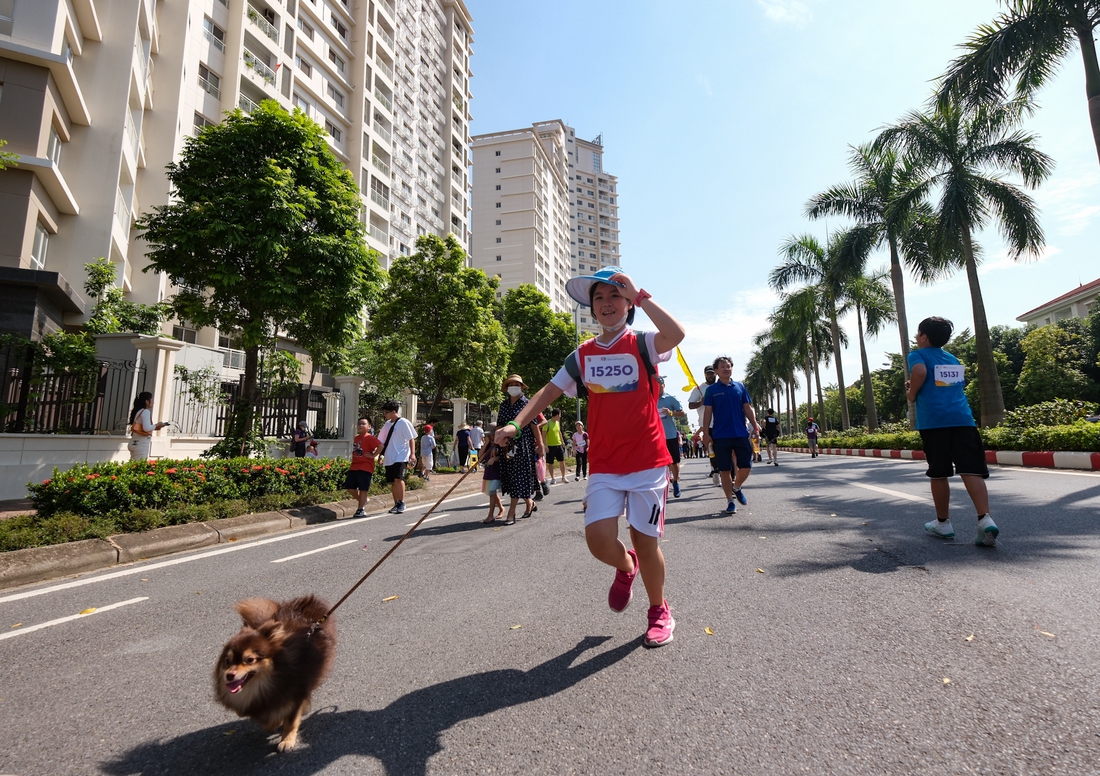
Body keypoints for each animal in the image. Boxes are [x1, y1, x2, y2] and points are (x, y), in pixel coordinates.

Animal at [211, 594, 334, 748]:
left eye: (249, 659)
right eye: (227, 661)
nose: (229, 675)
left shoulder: (296, 692)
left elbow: (290, 720)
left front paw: (287, 740)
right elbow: (269, 721)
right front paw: (277, 723)